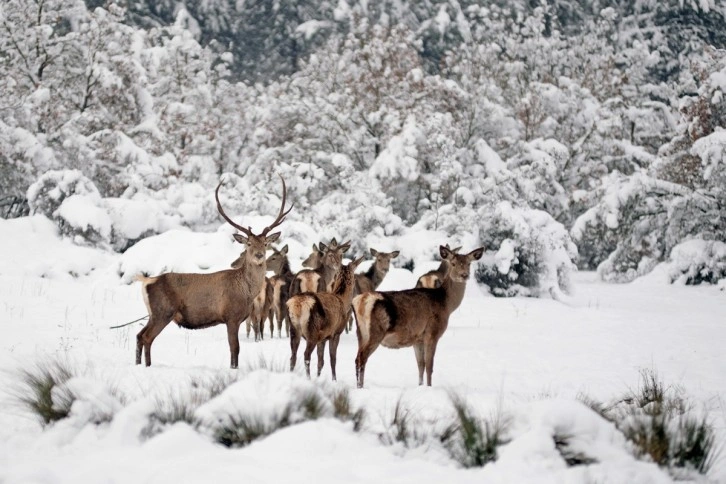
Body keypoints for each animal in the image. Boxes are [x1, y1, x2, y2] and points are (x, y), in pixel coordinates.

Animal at [135, 176, 294, 368]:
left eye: (265, 243)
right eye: (248, 243)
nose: (259, 255)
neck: (247, 292)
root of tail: (146, 282)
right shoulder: (231, 316)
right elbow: (235, 348)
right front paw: (233, 368)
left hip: (153, 314)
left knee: (139, 336)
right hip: (163, 311)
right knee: (146, 337)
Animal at [352, 244, 484, 388]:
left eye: (468, 263)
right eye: (453, 263)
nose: (464, 275)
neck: (446, 304)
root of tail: (361, 301)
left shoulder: (417, 338)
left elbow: (421, 365)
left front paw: (420, 385)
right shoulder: (432, 333)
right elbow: (430, 366)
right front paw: (429, 387)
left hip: (361, 333)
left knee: (357, 358)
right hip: (376, 331)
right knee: (362, 357)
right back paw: (360, 386)